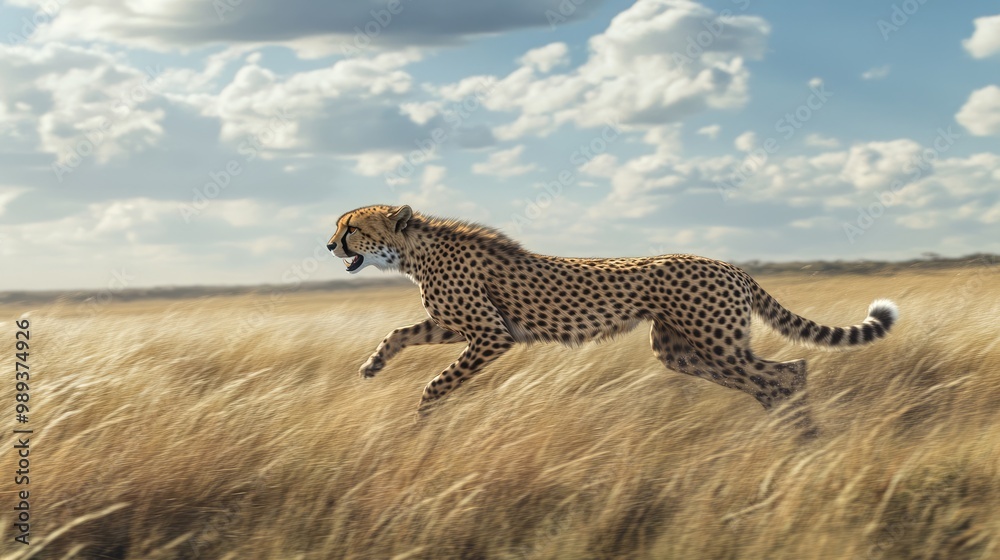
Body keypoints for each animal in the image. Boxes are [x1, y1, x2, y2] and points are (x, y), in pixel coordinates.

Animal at [327, 204, 898, 436]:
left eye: (351, 227)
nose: (329, 245)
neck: (414, 251)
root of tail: (727, 263)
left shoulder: (490, 334)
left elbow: (437, 382)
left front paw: (422, 420)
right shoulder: (457, 326)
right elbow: (400, 333)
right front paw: (372, 366)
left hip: (715, 344)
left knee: (787, 371)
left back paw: (804, 435)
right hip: (681, 350)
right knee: (769, 376)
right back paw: (789, 428)